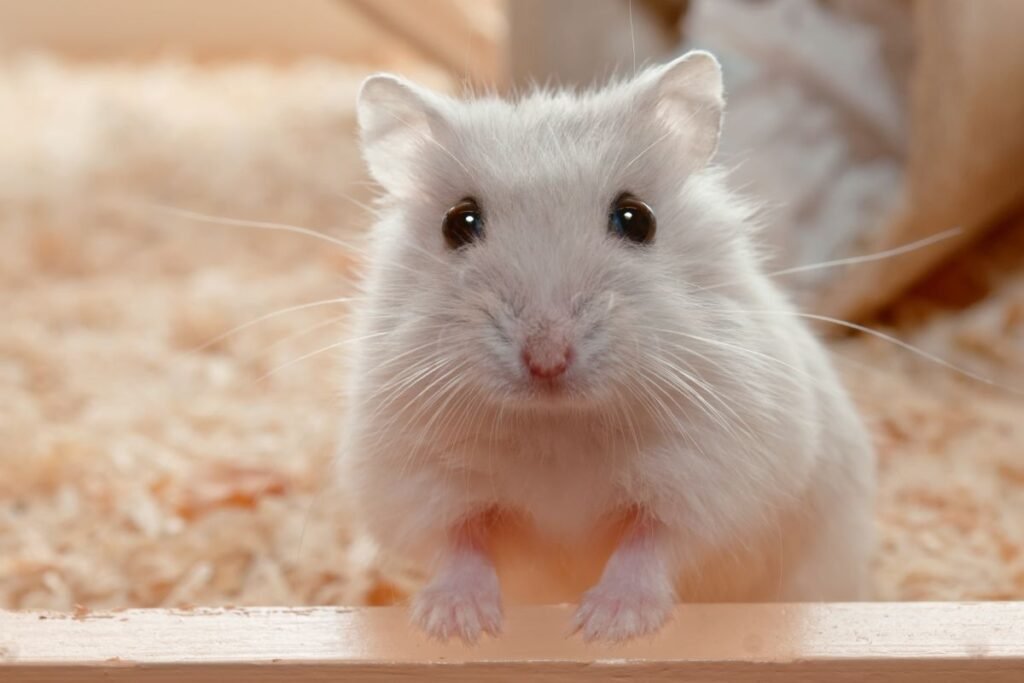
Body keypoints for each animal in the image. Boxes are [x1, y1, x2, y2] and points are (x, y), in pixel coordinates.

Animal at [339, 50, 875, 644]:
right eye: (458, 222)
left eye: (636, 218)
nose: (547, 359)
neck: (559, 426)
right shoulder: (417, 481)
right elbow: (459, 542)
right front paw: (458, 626)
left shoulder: (713, 477)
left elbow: (651, 543)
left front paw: (605, 625)